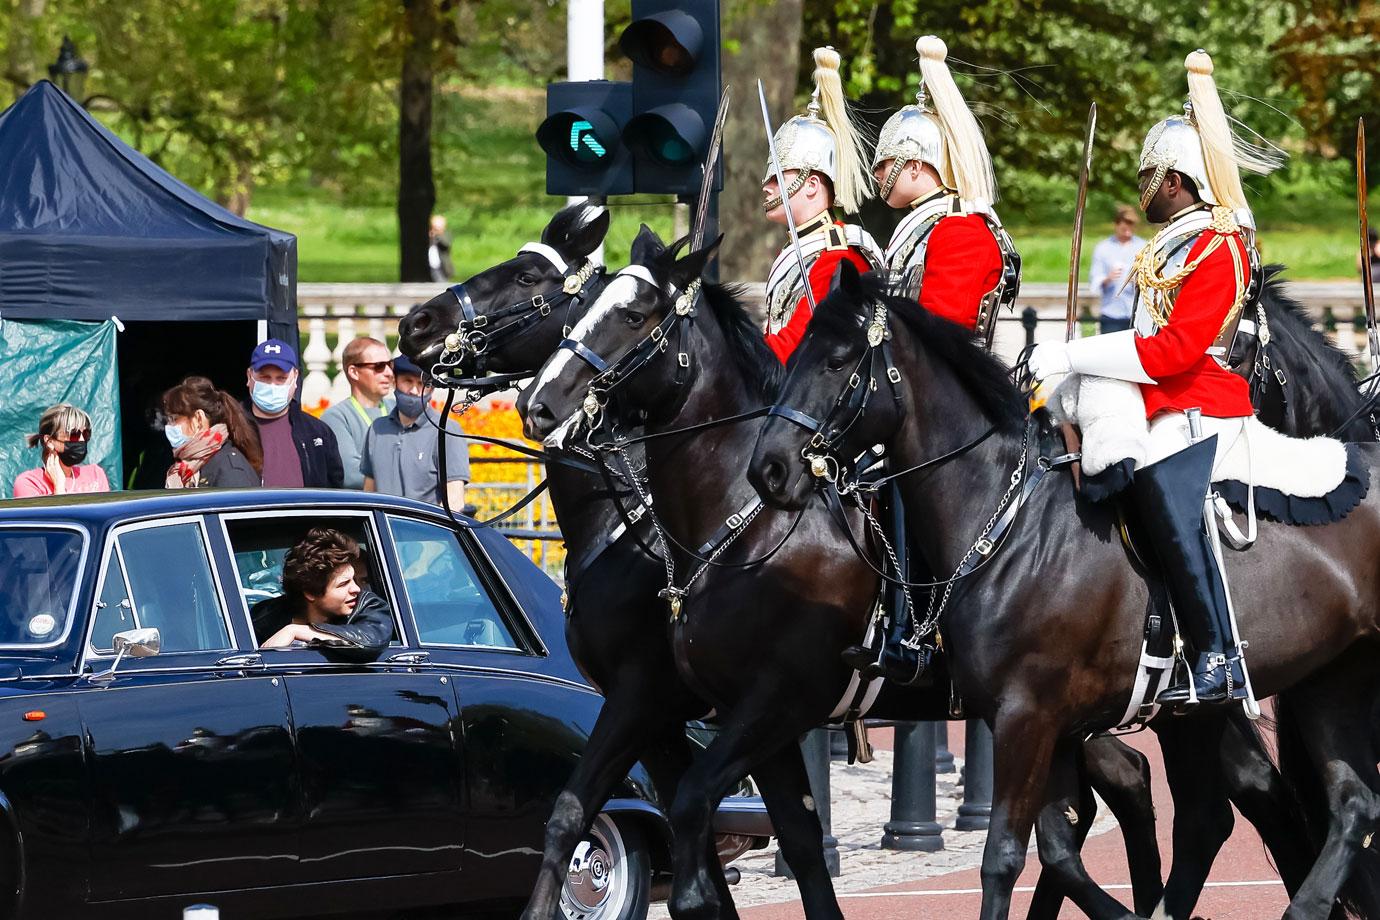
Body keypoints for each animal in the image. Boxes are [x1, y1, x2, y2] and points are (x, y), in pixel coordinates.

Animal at [750, 260, 1380, 920]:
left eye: (836, 360)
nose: (769, 469)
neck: (1007, 520)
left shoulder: (1027, 716)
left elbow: (1004, 856)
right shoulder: (1043, 723)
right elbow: (1055, 847)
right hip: (1323, 680)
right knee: (1338, 803)